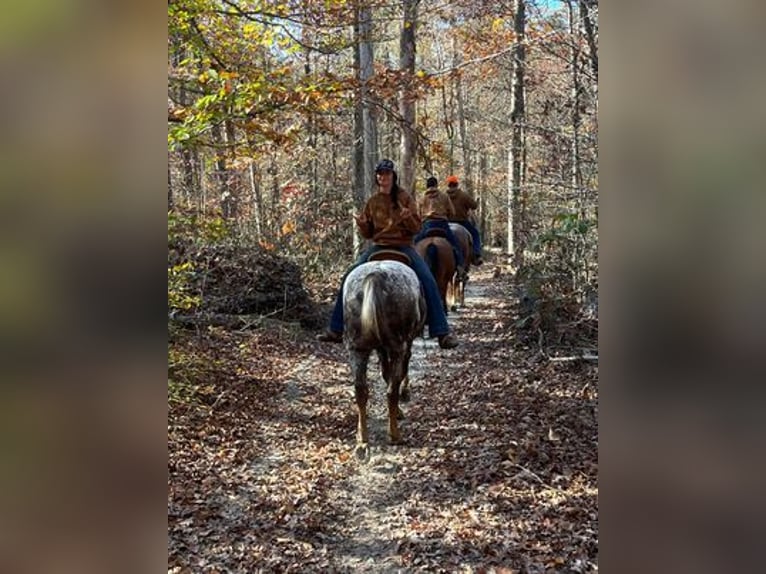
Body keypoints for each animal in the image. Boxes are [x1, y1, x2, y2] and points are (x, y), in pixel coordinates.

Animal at [342, 260, 426, 460]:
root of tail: (375, 276)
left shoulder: (380, 348)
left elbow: (384, 372)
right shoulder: (405, 344)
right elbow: (398, 373)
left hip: (357, 349)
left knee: (360, 390)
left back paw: (362, 440)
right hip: (398, 346)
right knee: (391, 390)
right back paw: (395, 435)